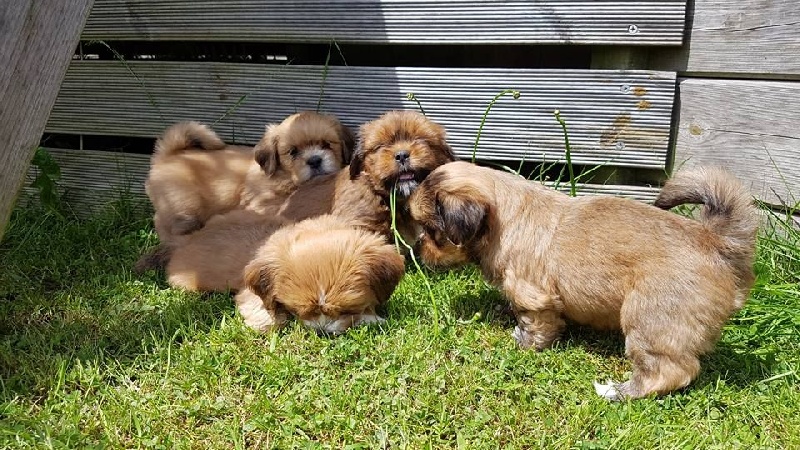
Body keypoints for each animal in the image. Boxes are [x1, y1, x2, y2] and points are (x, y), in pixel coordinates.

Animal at [410, 160, 760, 400]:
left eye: (431, 230)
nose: (417, 248)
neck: (503, 220)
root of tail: (715, 242)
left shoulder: (532, 297)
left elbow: (535, 323)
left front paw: (525, 344)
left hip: (653, 318)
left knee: (669, 370)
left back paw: (619, 392)